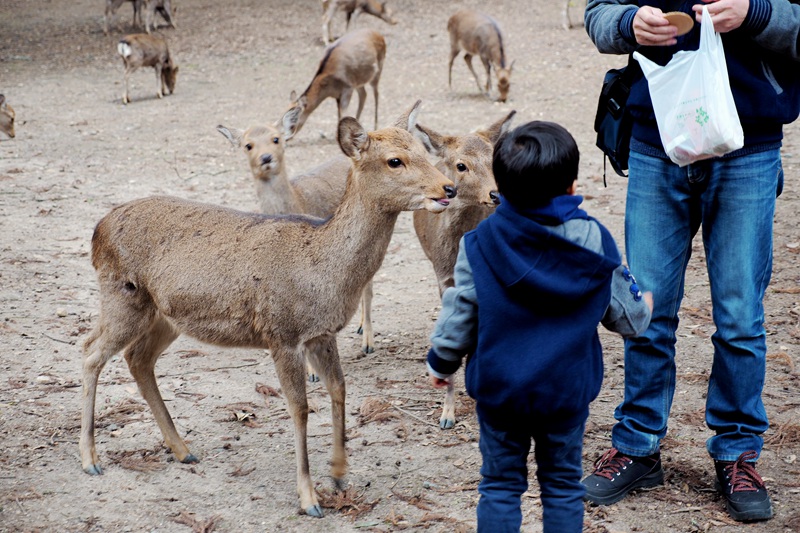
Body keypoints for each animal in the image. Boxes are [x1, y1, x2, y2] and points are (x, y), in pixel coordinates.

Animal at [216, 106, 378, 362]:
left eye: (276, 138)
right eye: (248, 145)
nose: (266, 158)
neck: (297, 202)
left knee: (368, 286)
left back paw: (368, 342)